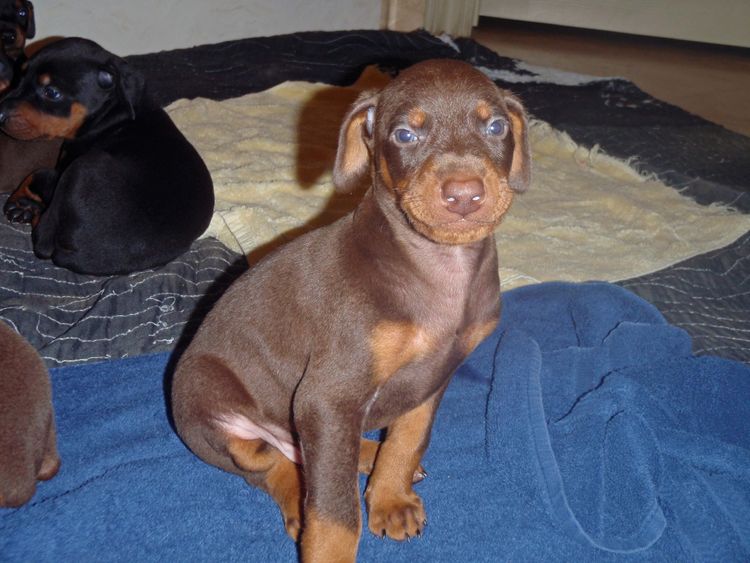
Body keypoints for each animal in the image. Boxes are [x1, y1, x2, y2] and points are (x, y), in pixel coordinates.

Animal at [0, 37, 214, 276]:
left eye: (52, 92)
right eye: (20, 77)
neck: (111, 114)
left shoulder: (66, 165)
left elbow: (37, 174)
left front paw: (21, 202)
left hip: (84, 166)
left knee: (44, 241)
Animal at [173, 59, 532, 560]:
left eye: (496, 127)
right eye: (405, 135)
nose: (464, 194)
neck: (440, 269)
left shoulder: (433, 377)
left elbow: (408, 439)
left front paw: (391, 497)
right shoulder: (328, 396)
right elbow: (335, 514)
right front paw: (328, 546)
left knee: (309, 453)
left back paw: (366, 454)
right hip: (212, 410)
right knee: (271, 463)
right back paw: (301, 502)